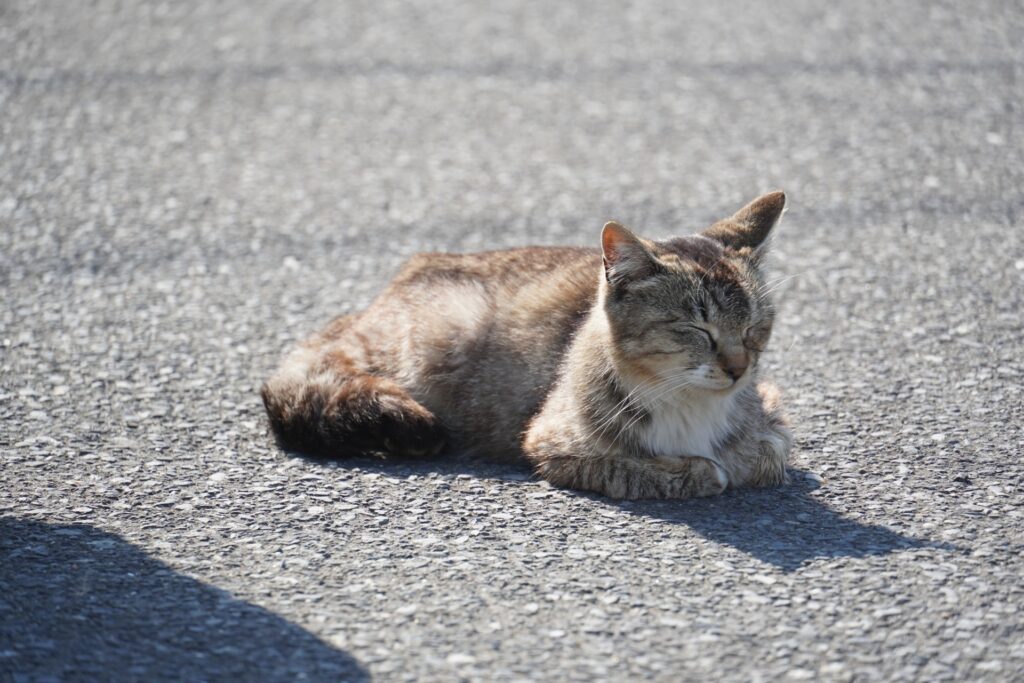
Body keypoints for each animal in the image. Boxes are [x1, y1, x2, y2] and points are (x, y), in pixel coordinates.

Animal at [262, 189, 790, 499]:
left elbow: (768, 452)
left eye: (754, 326)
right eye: (698, 330)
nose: (739, 368)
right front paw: (698, 471)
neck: (688, 403)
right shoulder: (550, 442)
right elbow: (642, 469)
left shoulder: (772, 411)